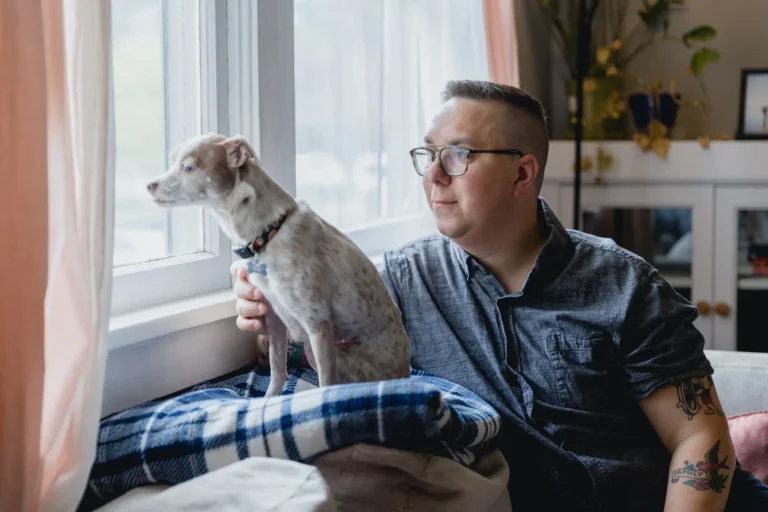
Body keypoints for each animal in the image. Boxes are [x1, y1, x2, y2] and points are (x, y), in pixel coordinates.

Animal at [146, 132, 412, 396]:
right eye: (171, 161)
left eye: (187, 167)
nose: (149, 185)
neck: (268, 233)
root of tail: (405, 374)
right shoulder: (273, 316)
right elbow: (277, 368)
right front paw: (269, 400)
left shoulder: (317, 324)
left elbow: (325, 384)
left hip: (326, 351)